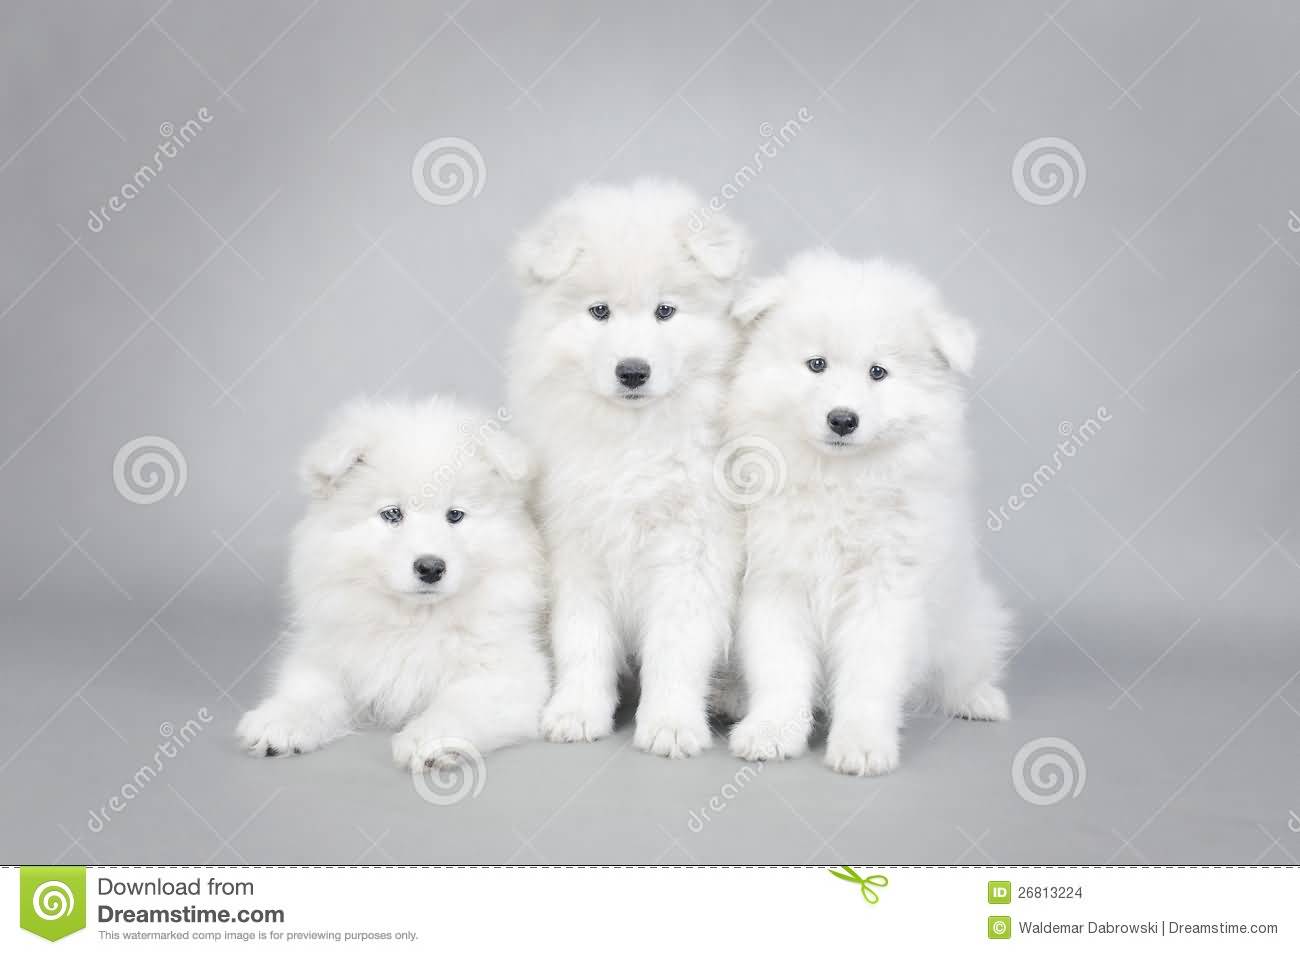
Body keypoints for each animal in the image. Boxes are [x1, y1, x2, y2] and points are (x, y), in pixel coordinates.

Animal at [233, 394, 548, 769]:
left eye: (455, 515)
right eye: (392, 514)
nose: (430, 567)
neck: (413, 619)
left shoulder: (511, 672)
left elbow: (460, 704)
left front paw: (428, 738)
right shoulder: (332, 651)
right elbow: (309, 687)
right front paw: (280, 720)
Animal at [728, 252, 1008, 779]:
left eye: (878, 372)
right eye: (816, 365)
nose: (843, 419)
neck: (838, 480)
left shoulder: (885, 587)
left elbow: (868, 676)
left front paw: (860, 744)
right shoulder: (775, 580)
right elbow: (779, 667)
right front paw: (772, 731)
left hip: (967, 617)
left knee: (963, 666)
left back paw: (979, 699)